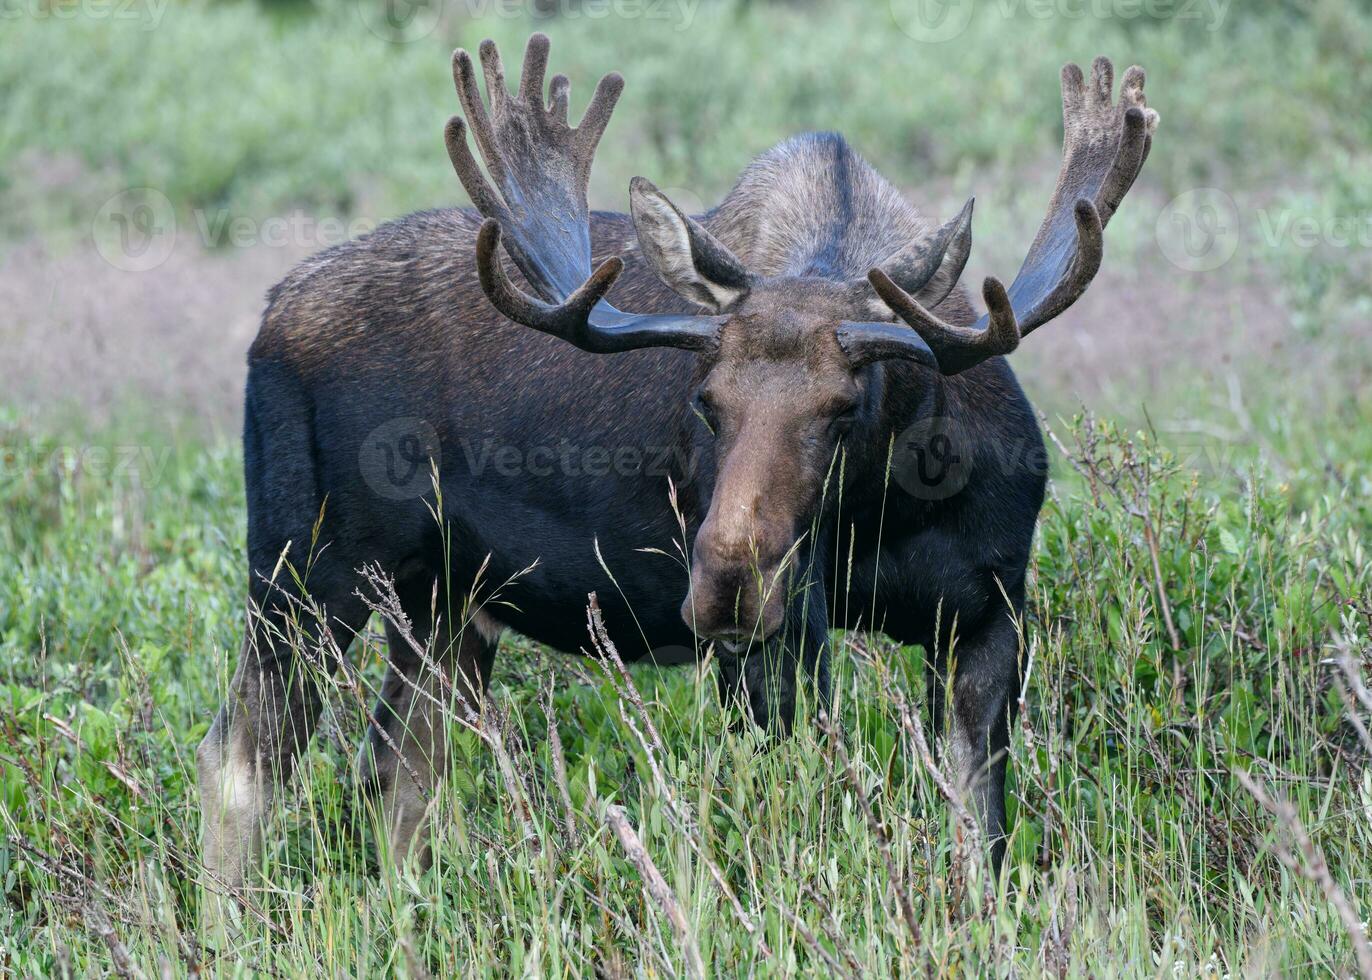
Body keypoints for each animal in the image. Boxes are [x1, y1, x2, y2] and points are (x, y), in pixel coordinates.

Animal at [196, 34, 1157, 883]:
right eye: (705, 400)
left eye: (846, 408)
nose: (727, 578)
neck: (898, 507)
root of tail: (269, 314)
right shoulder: (782, 638)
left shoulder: (990, 614)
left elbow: (980, 841)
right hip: (307, 567)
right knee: (241, 761)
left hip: (442, 600)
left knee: (397, 772)